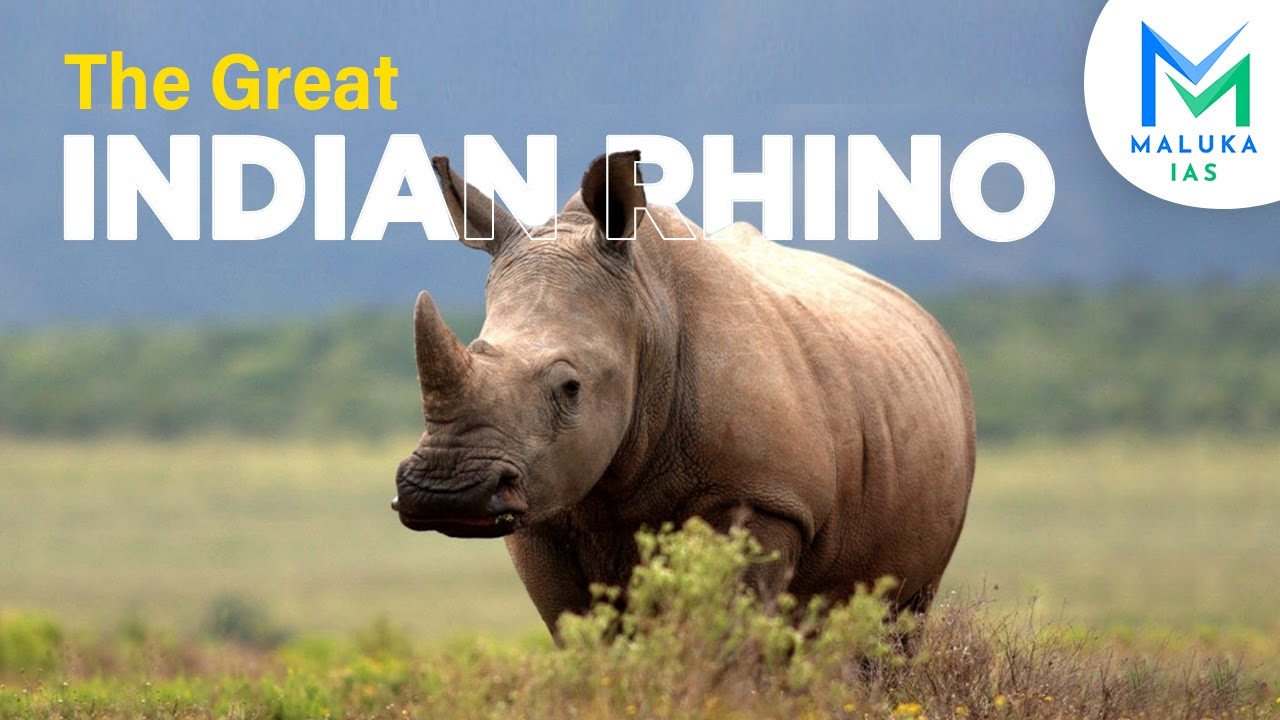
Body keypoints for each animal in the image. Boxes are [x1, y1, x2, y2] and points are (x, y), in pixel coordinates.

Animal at [392, 151, 976, 635]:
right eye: (476, 349)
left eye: (571, 388)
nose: (446, 492)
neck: (647, 312)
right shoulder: (542, 513)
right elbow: (584, 634)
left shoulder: (763, 498)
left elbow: (727, 635)